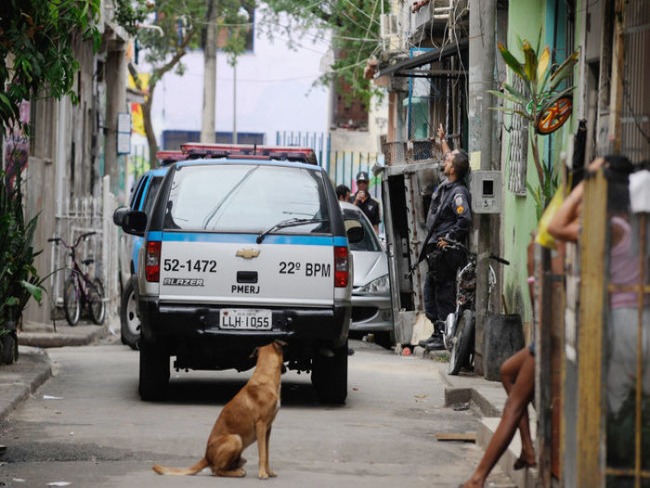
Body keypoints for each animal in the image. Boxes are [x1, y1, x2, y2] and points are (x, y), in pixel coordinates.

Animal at [153, 342, 284, 478]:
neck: (265, 377)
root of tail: (206, 457)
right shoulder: (261, 426)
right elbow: (262, 453)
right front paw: (263, 473)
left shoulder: (267, 429)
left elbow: (266, 453)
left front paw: (268, 471)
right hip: (236, 439)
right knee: (216, 471)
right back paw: (236, 472)